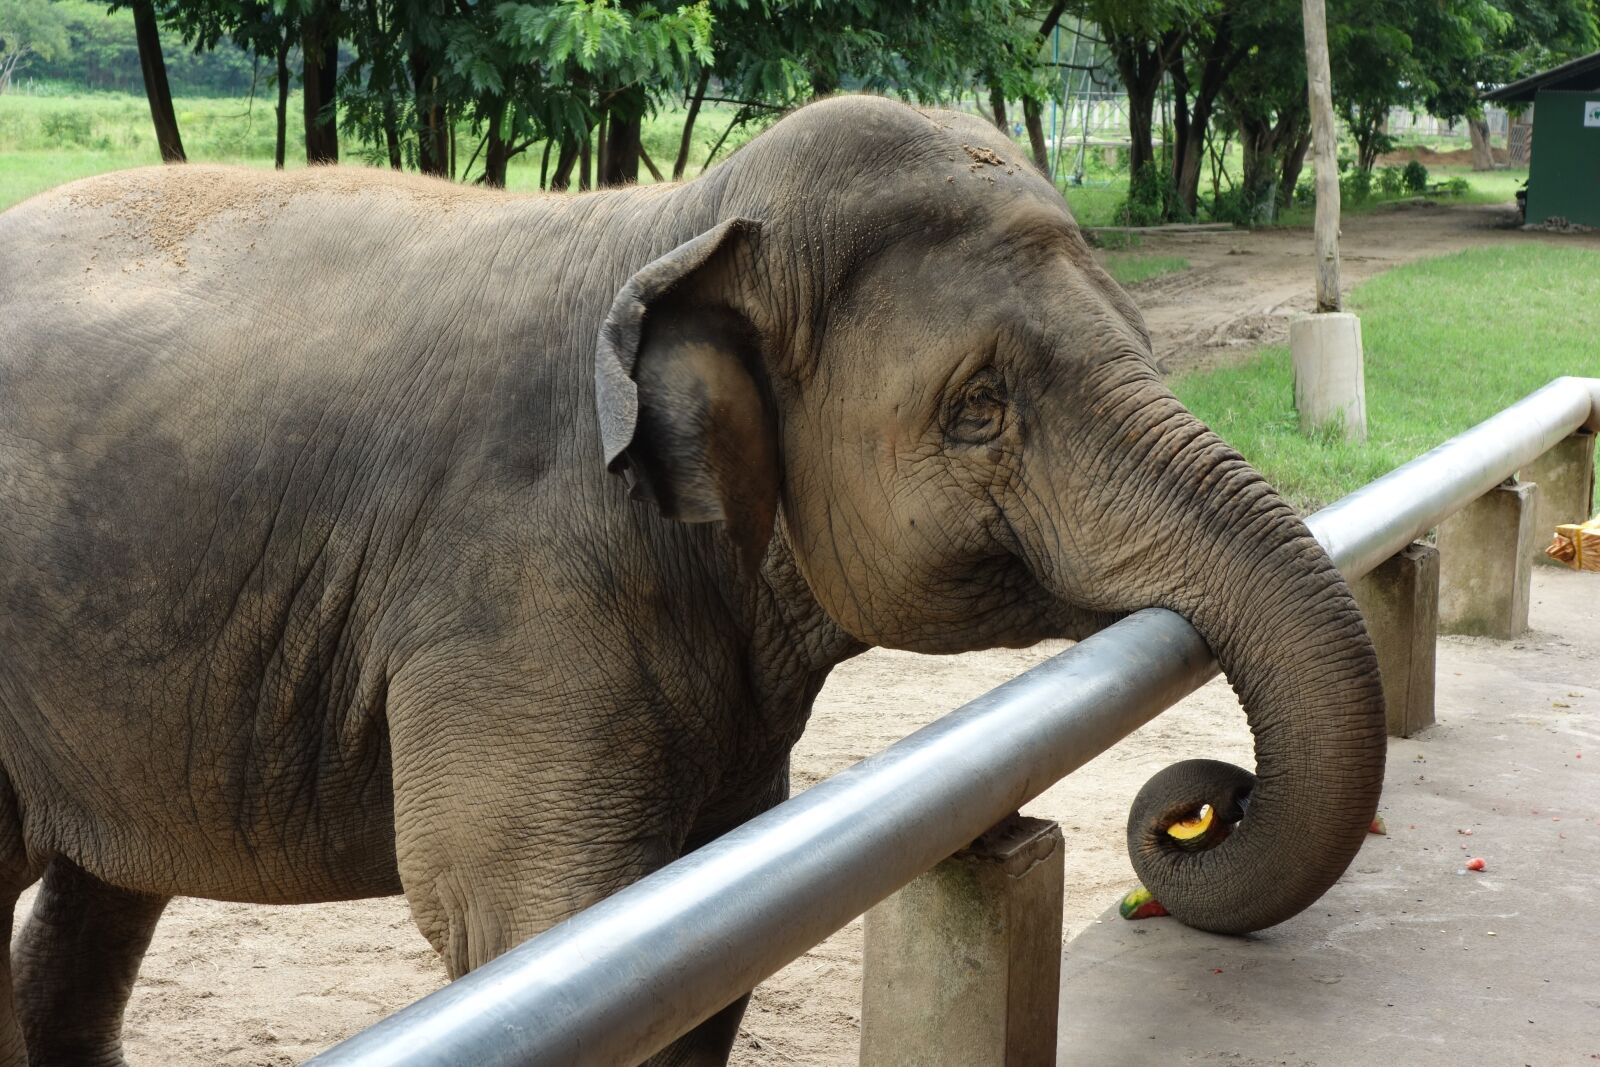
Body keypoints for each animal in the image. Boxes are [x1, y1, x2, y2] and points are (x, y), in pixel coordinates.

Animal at [0, 95, 1385, 1066]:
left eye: (1147, 344)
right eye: (979, 411)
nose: (1202, 802)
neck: (678, 221)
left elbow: (702, 932)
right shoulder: (515, 583)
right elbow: (528, 921)